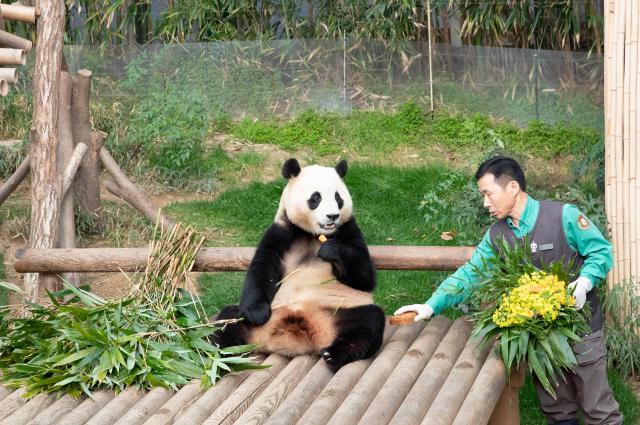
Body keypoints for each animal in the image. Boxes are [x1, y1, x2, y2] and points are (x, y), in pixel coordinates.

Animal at [212, 158, 385, 371]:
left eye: (338, 198)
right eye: (316, 198)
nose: (333, 216)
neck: (313, 234)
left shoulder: (348, 229)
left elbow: (365, 278)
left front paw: (331, 250)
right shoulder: (282, 231)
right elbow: (262, 268)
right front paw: (257, 313)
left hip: (340, 311)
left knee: (369, 322)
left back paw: (334, 355)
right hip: (261, 317)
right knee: (227, 321)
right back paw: (218, 358)